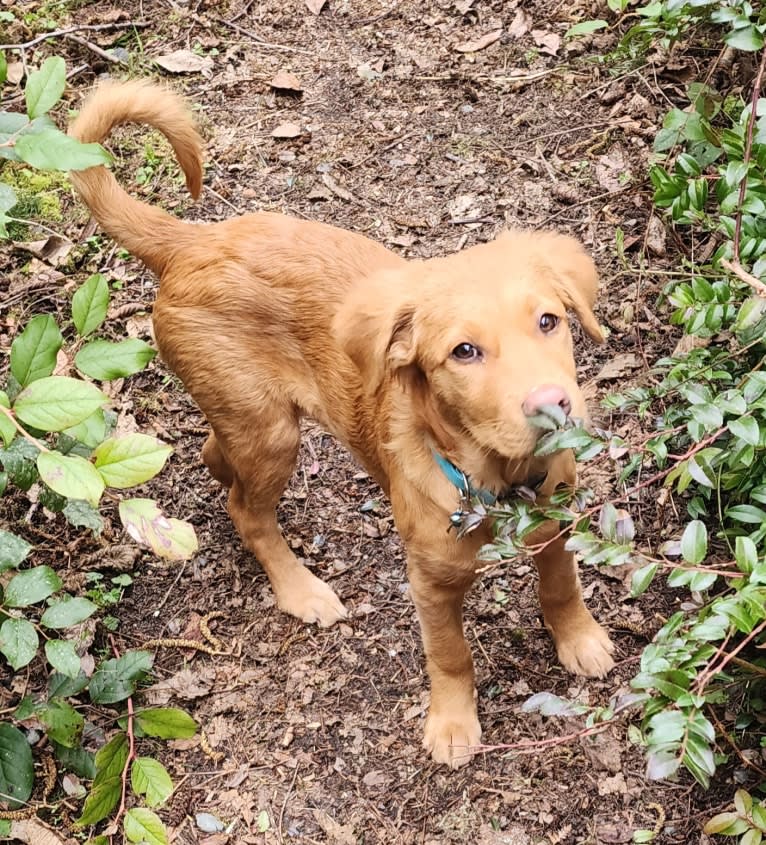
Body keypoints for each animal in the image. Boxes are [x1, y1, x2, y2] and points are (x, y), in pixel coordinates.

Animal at [69, 82, 616, 768]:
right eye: (464, 353)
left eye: (549, 321)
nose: (553, 405)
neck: (497, 477)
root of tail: (193, 242)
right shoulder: (430, 583)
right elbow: (451, 654)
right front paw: (453, 724)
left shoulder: (557, 520)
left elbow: (563, 585)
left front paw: (579, 638)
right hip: (272, 434)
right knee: (246, 508)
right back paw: (300, 590)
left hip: (250, 415)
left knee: (215, 457)